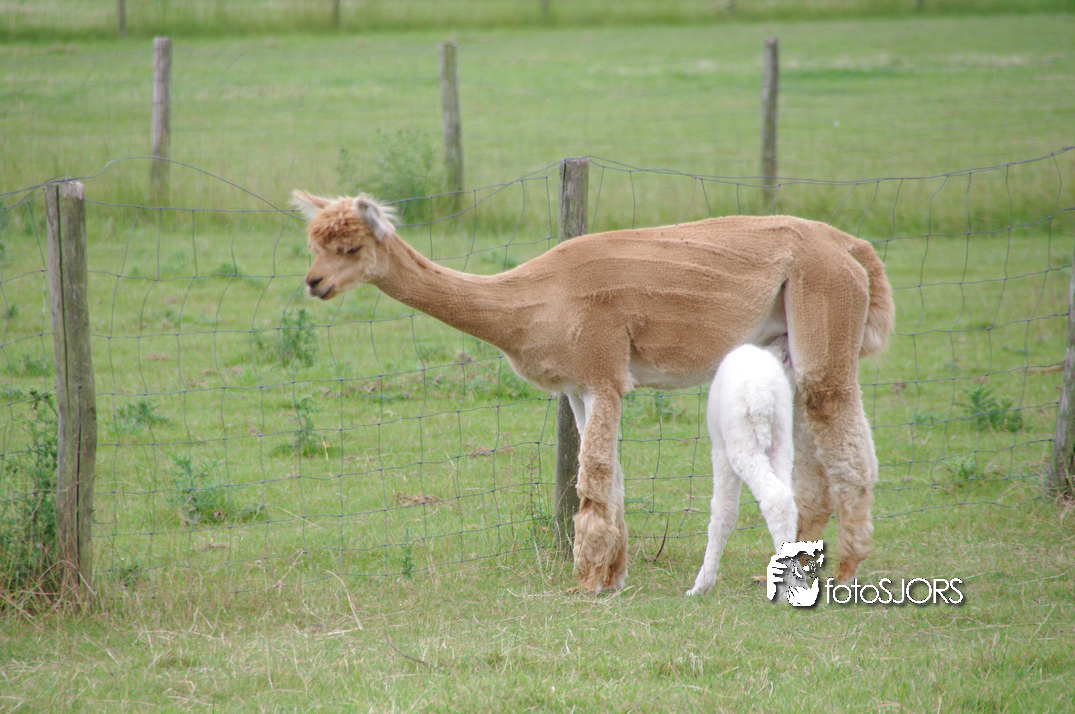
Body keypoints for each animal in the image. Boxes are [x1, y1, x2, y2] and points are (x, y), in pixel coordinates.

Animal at [291, 190, 895, 594]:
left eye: (349, 247)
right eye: (314, 244)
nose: (314, 283)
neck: (534, 301)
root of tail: (848, 243)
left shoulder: (604, 370)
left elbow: (594, 473)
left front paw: (587, 581)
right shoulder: (579, 385)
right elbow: (611, 475)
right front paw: (613, 575)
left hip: (823, 305)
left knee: (847, 444)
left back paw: (845, 571)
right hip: (788, 345)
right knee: (812, 458)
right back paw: (805, 564)